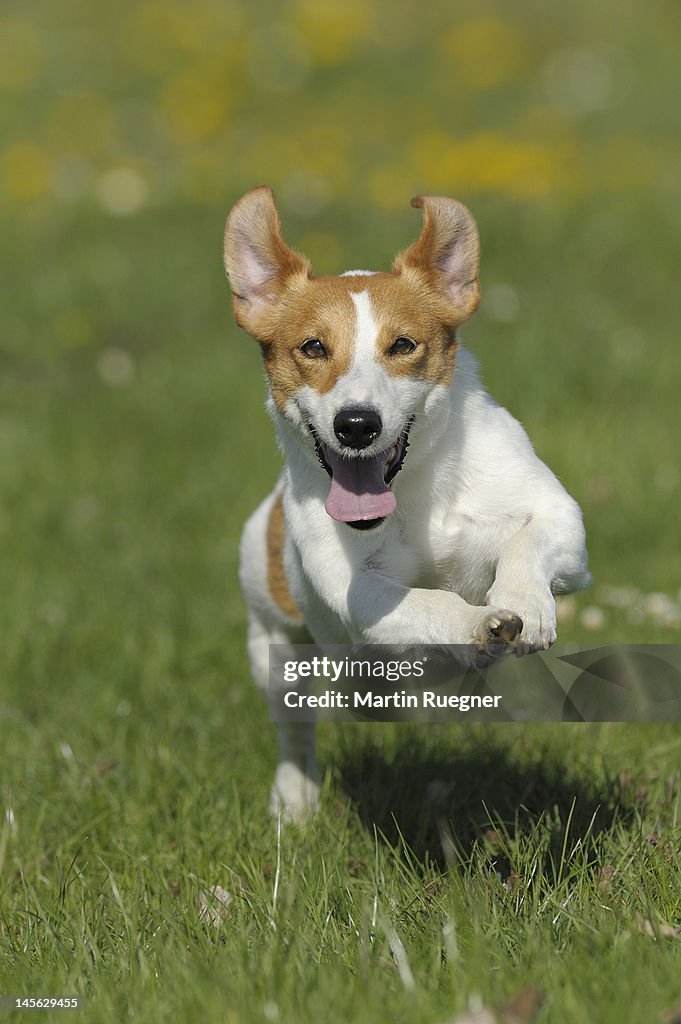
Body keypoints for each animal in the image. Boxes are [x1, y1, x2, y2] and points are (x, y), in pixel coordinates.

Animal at [224, 188, 589, 819]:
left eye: (402, 345)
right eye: (313, 347)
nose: (356, 424)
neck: (414, 488)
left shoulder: (559, 520)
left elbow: (528, 539)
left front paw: (524, 603)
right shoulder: (357, 591)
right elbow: (427, 601)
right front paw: (478, 624)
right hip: (273, 647)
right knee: (297, 725)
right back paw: (295, 799)